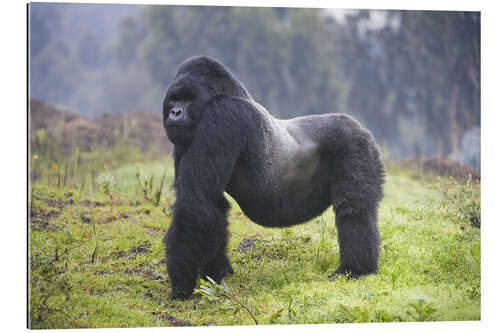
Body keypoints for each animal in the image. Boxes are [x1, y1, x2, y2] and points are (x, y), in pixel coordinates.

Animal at [162, 55, 384, 298]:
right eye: (174, 99)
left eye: (188, 99)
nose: (175, 113)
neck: (222, 95)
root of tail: (359, 125)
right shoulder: (184, 138)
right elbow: (212, 206)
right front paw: (217, 273)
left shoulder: (222, 116)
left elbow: (196, 203)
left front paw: (181, 284)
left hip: (355, 143)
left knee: (354, 209)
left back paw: (355, 270)